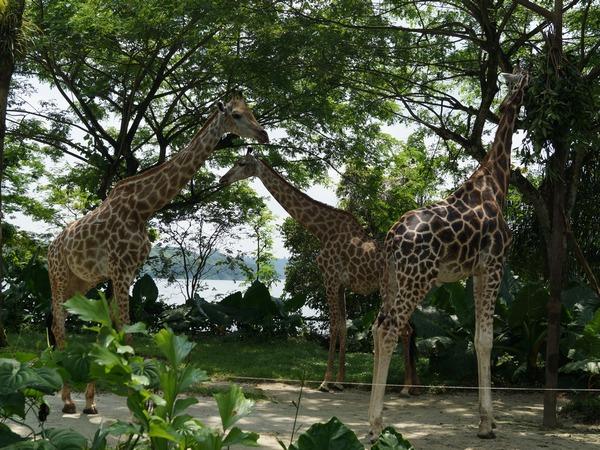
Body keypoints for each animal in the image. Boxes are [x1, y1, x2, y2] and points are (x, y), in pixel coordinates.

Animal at [48, 96, 268, 414]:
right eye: (237, 115)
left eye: (252, 112)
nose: (264, 134)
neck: (144, 207)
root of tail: (50, 247)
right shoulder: (119, 269)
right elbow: (125, 333)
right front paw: (138, 403)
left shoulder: (127, 272)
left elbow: (109, 331)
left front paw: (92, 401)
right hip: (58, 277)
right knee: (58, 324)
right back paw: (66, 400)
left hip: (81, 282)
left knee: (61, 321)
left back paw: (76, 399)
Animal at [218, 149, 420, 392]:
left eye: (241, 163)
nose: (222, 179)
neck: (322, 231)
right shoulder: (341, 284)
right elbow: (343, 326)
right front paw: (341, 381)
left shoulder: (330, 279)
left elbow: (334, 326)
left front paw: (326, 381)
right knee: (410, 329)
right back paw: (412, 384)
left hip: (387, 289)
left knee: (404, 329)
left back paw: (406, 387)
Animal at [366, 70, 528, 440]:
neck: (496, 182)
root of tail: (392, 239)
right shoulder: (494, 264)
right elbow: (485, 339)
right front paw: (486, 424)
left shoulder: (475, 272)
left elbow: (477, 337)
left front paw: (487, 420)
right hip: (418, 278)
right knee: (390, 329)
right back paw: (376, 425)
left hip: (391, 280)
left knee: (378, 326)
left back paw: (372, 421)